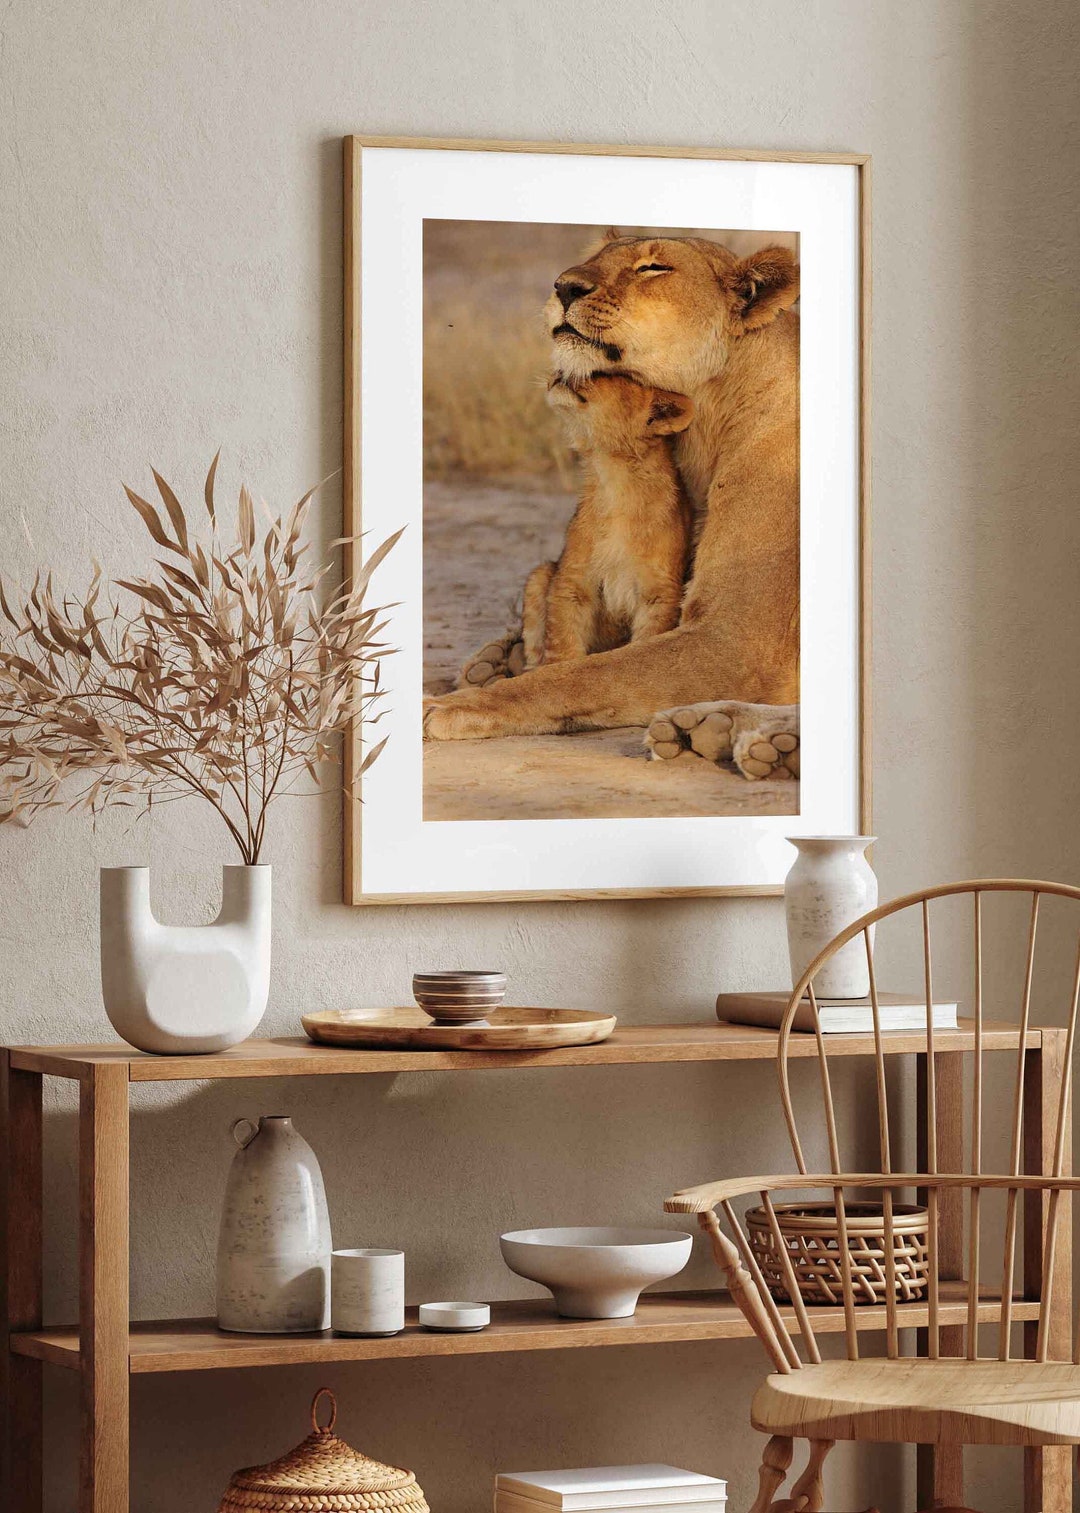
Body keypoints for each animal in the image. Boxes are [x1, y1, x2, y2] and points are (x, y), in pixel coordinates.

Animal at [521, 373, 694, 668]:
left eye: (600, 373)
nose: (559, 372)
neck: (613, 477)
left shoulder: (659, 594)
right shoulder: (572, 580)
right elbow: (562, 644)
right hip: (541, 574)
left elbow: (644, 646)